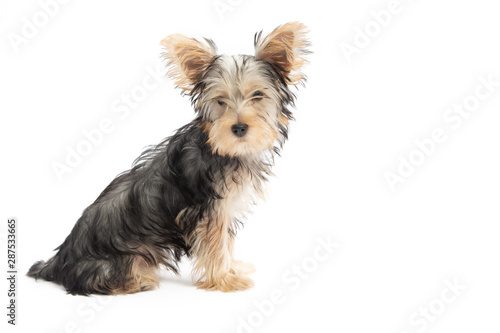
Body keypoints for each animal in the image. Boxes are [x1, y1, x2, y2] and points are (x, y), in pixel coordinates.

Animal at [28, 22, 308, 294]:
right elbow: (216, 244)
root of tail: (59, 261)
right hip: (113, 261)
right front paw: (224, 279)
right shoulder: (209, 211)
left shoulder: (221, 209)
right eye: (220, 101)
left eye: (258, 95)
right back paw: (136, 281)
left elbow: (225, 242)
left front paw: (231, 270)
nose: (239, 128)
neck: (221, 148)